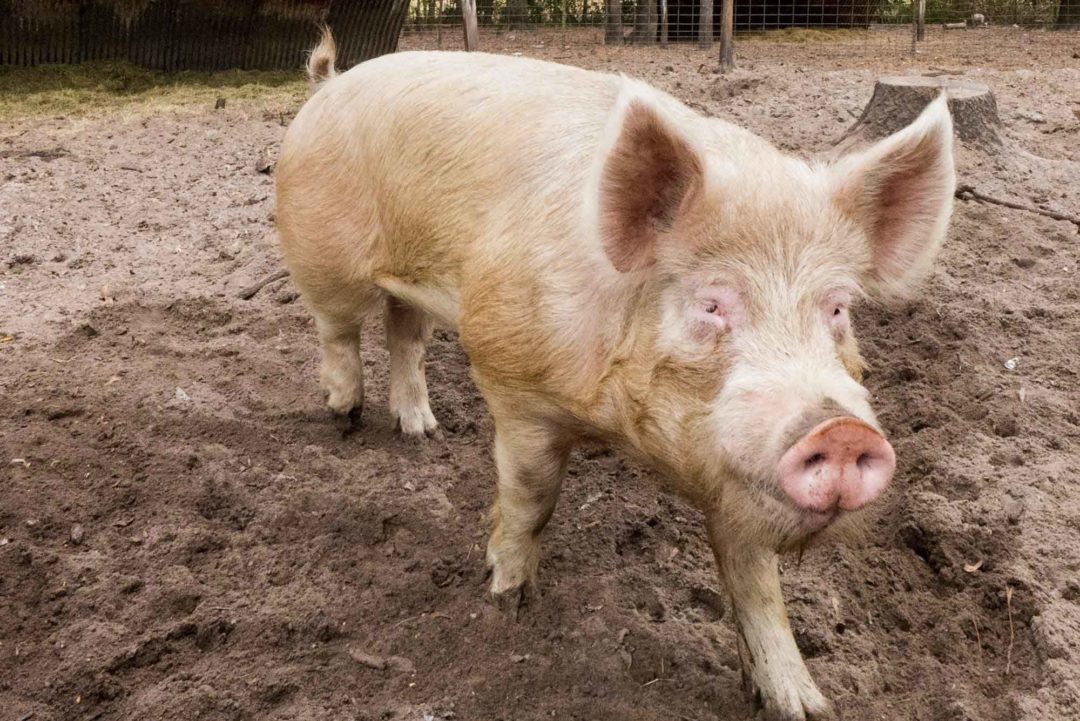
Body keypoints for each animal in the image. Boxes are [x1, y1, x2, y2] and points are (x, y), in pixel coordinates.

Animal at [275, 29, 955, 720]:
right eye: (711, 305)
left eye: (837, 308)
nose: (841, 432)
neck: (621, 430)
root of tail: (329, 85)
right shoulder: (515, 383)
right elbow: (531, 498)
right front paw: (507, 599)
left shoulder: (736, 474)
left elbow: (758, 584)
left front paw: (802, 704)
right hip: (321, 252)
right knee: (338, 330)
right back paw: (344, 417)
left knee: (405, 334)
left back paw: (421, 432)